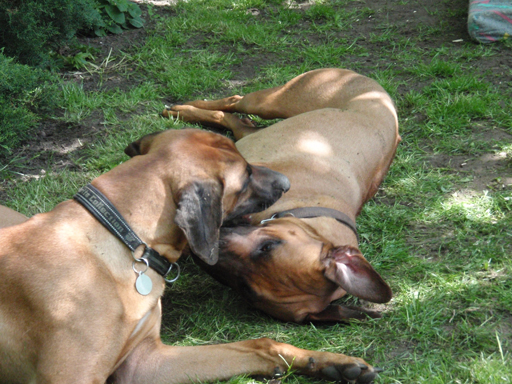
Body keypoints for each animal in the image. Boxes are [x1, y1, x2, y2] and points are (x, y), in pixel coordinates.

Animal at [0, 129, 380, 384]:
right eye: (245, 176)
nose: (287, 183)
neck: (121, 243)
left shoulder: (146, 363)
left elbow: (260, 344)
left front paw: (329, 362)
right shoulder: (70, 377)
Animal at [164, 68, 400, 324]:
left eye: (245, 289)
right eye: (268, 246)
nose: (210, 255)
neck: (307, 209)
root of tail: (378, 91)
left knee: (236, 121)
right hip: (273, 101)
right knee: (233, 100)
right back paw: (182, 108)